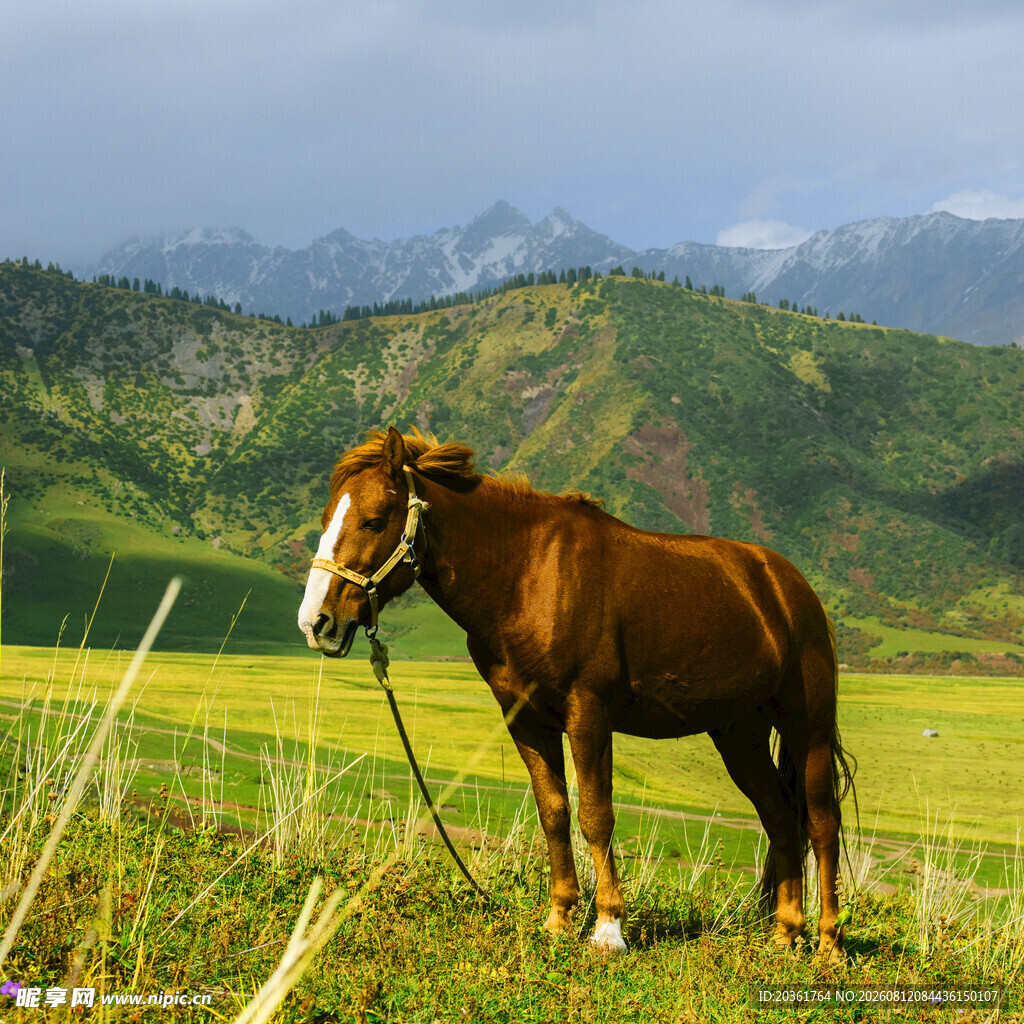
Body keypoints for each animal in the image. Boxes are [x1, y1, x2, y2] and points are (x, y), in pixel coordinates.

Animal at [298, 427, 856, 959]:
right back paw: (786, 934)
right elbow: (554, 812)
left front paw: (608, 928)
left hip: (807, 727)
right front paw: (560, 917)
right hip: (739, 734)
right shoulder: (525, 718)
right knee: (781, 820)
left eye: (373, 521)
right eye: (326, 520)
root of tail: (789, 587)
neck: (527, 574)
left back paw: (828, 941)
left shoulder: (587, 713)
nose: (315, 623)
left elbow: (595, 814)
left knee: (821, 824)